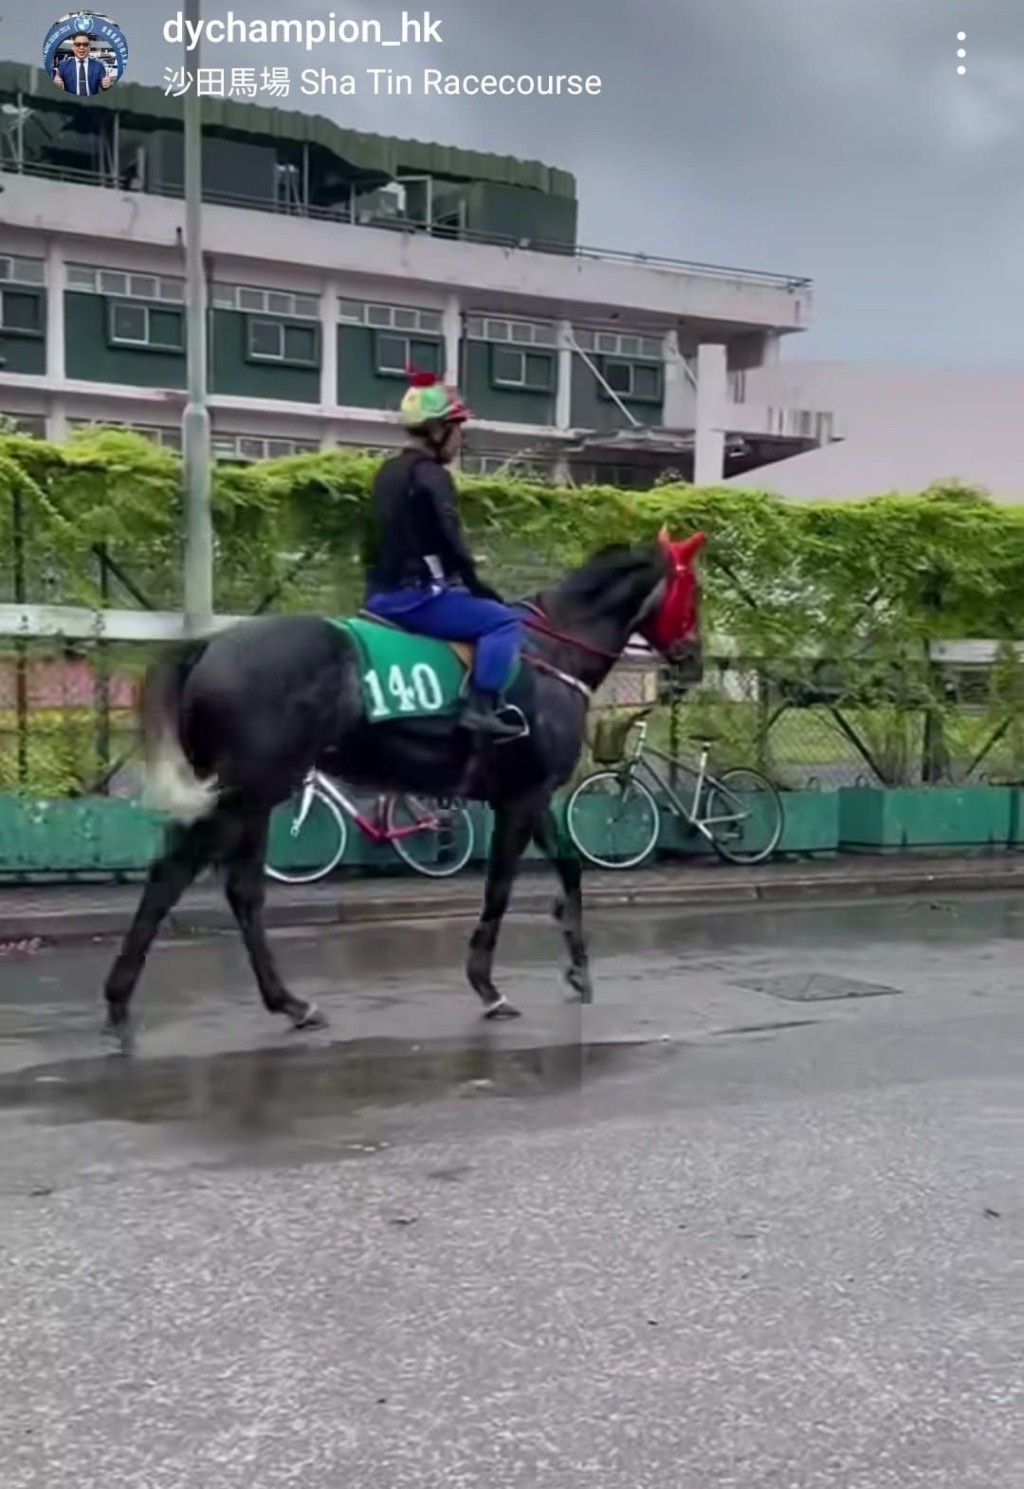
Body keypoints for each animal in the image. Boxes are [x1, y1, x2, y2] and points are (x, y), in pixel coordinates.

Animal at [101, 536, 702, 1036]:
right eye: (692, 591)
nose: (693, 661)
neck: (552, 652)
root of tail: (210, 648)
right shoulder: (521, 798)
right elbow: (500, 889)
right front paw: (487, 986)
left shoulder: (533, 796)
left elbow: (571, 870)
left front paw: (578, 969)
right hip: (247, 791)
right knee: (174, 876)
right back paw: (121, 999)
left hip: (255, 798)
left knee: (241, 893)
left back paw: (287, 1002)